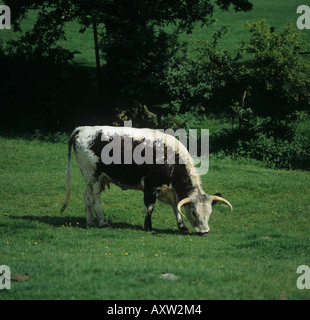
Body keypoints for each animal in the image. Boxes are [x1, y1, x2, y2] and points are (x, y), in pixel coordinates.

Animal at [60, 125, 232, 235]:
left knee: (86, 196)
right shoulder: (150, 185)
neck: (171, 159)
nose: (205, 232)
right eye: (195, 212)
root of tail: (82, 129)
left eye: (209, 212)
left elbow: (176, 207)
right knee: (95, 199)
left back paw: (90, 222)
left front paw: (182, 227)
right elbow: (150, 208)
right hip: (93, 176)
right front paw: (148, 227)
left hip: (92, 178)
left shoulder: (172, 191)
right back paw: (103, 223)